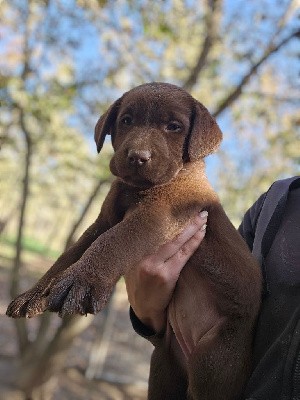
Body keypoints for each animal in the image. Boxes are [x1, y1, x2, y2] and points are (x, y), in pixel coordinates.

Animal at [6, 83, 260, 398]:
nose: (138, 156)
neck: (136, 189)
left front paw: (81, 281)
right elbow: (69, 255)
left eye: (174, 126)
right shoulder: (103, 222)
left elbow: (115, 241)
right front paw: (34, 294)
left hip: (214, 362)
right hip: (164, 366)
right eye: (126, 120)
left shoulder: (157, 214)